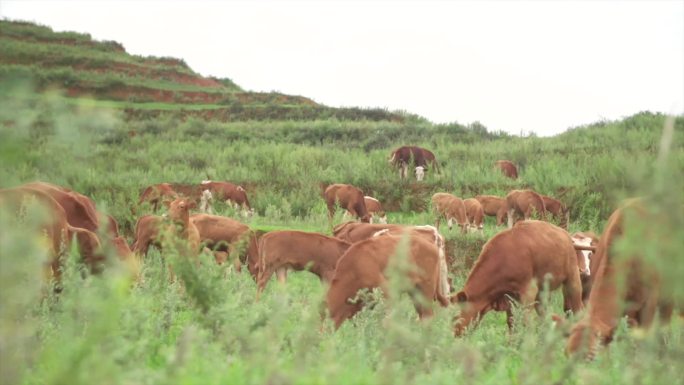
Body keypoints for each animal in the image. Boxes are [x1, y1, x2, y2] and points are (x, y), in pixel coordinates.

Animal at [454, 220, 584, 334]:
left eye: (457, 316)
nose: (455, 333)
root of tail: (565, 233)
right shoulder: (509, 297)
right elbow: (511, 323)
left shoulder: (528, 292)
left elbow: (527, 323)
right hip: (542, 292)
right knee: (545, 317)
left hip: (573, 279)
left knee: (578, 309)